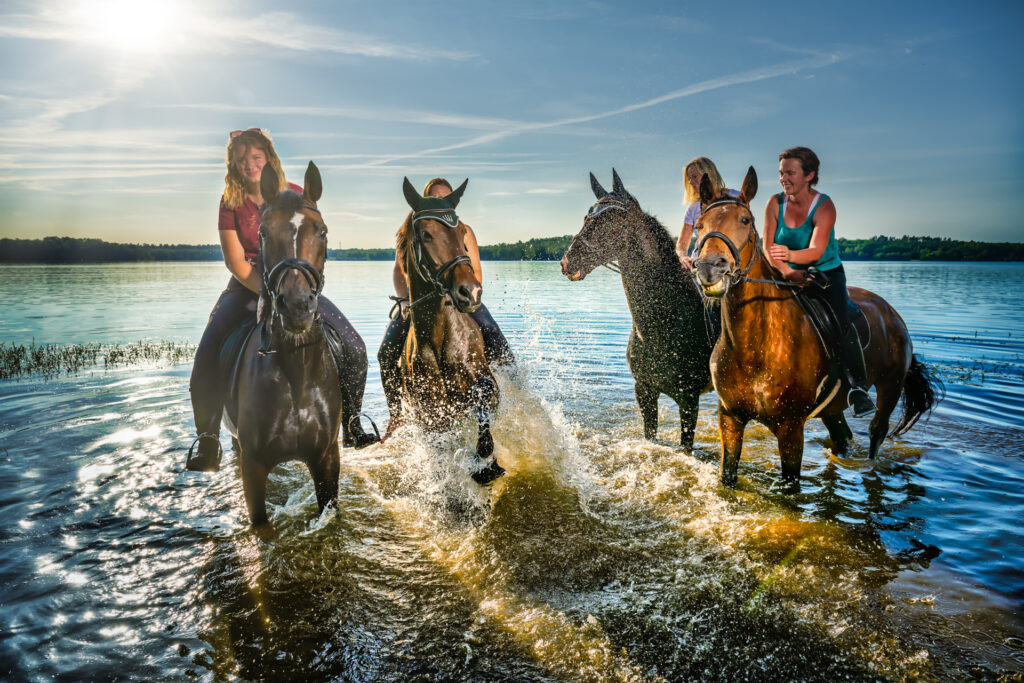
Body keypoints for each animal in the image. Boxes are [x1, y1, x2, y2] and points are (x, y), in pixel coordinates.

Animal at [387, 176, 503, 485]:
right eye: (426, 234)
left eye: (462, 233)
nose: (470, 292)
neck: (440, 339)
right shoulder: (433, 419)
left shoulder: (488, 387)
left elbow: (484, 391)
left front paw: (487, 462)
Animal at [561, 169, 720, 448]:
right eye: (586, 215)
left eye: (611, 219)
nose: (567, 262)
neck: (665, 321)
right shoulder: (644, 391)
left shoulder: (689, 400)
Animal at [692, 165, 937, 485]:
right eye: (699, 225)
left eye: (745, 220)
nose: (710, 268)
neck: (755, 345)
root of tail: (892, 314)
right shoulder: (730, 418)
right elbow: (727, 476)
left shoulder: (791, 428)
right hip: (833, 409)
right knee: (842, 438)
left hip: (890, 387)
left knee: (876, 432)